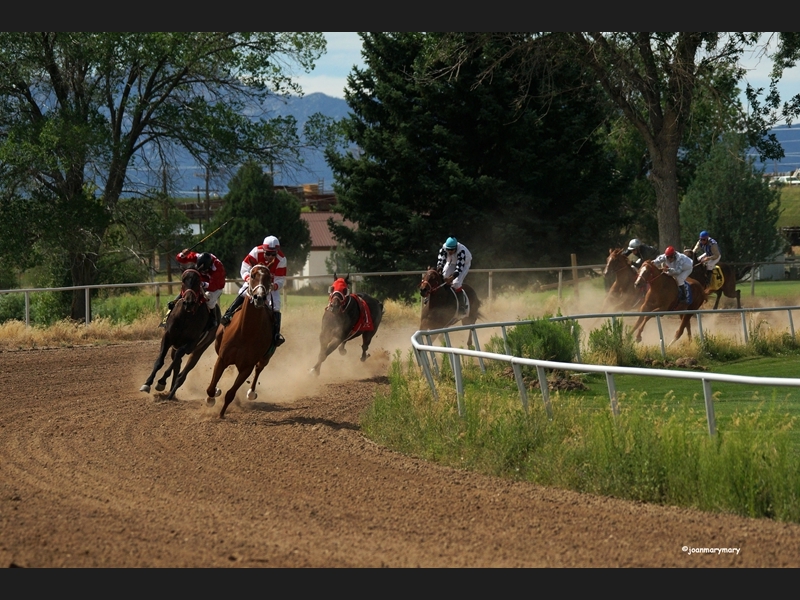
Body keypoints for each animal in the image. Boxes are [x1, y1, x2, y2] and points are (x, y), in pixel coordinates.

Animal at [139, 268, 217, 398]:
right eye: (183, 280)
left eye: (198, 281)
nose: (189, 302)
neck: (186, 316)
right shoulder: (168, 337)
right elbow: (160, 361)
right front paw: (147, 383)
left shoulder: (191, 343)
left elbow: (177, 358)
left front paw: (161, 382)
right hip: (175, 346)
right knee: (177, 363)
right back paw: (171, 392)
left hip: (200, 348)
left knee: (184, 369)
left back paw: (172, 392)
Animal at [205, 264, 276, 420]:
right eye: (253, 275)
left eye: (269, 277)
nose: (259, 298)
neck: (245, 333)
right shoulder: (222, 358)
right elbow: (211, 388)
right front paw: (212, 397)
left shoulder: (246, 367)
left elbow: (231, 393)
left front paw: (221, 414)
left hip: (266, 357)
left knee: (259, 369)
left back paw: (251, 393)